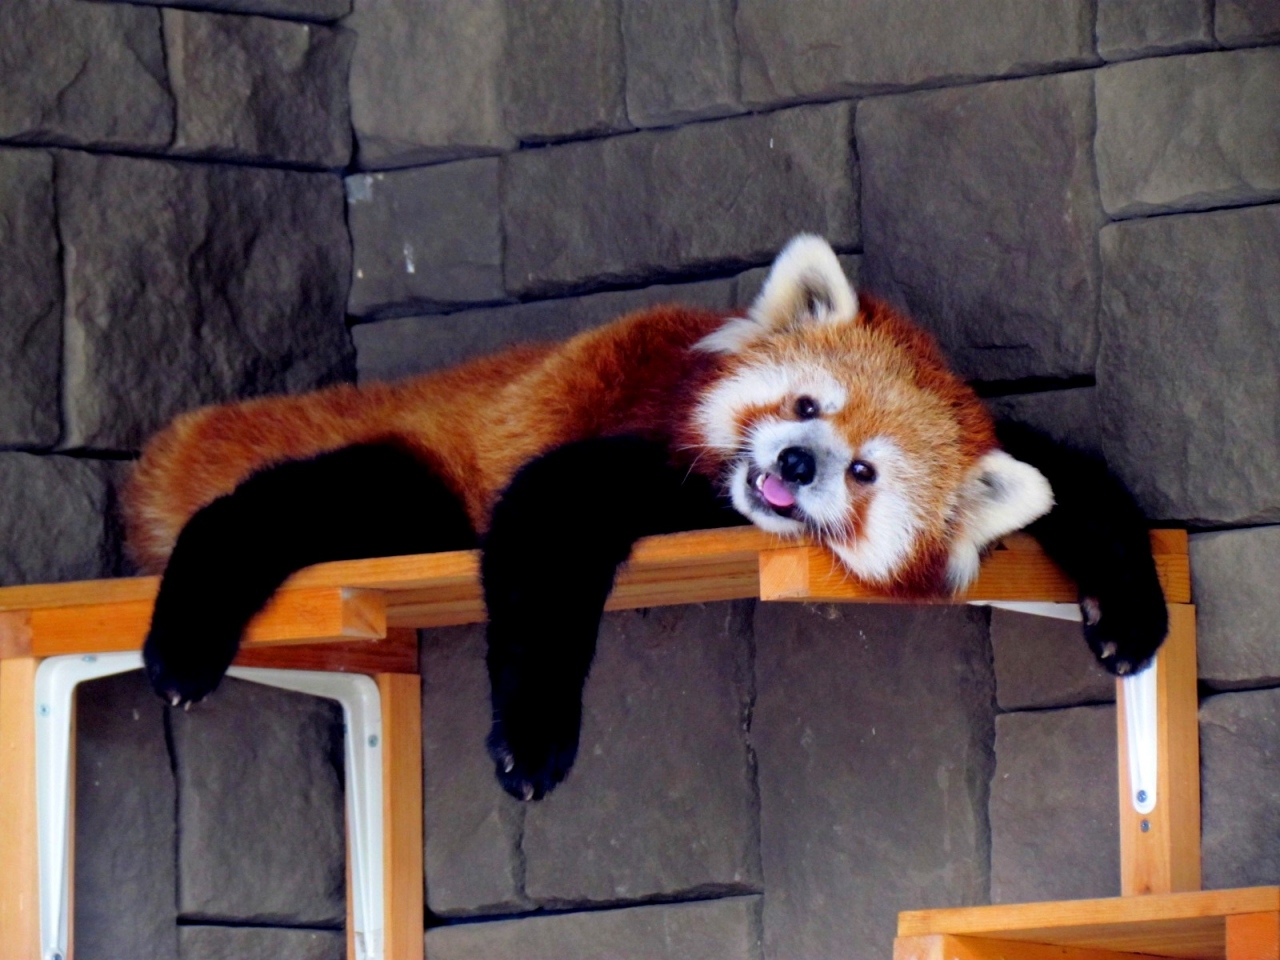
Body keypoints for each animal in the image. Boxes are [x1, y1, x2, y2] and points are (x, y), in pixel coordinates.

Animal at [129, 235, 1172, 803]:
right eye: (806, 406)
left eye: (865, 471)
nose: (796, 466)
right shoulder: (640, 442)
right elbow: (548, 531)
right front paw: (533, 741)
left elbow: (1076, 478)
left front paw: (1128, 614)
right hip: (421, 484)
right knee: (296, 503)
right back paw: (184, 644)